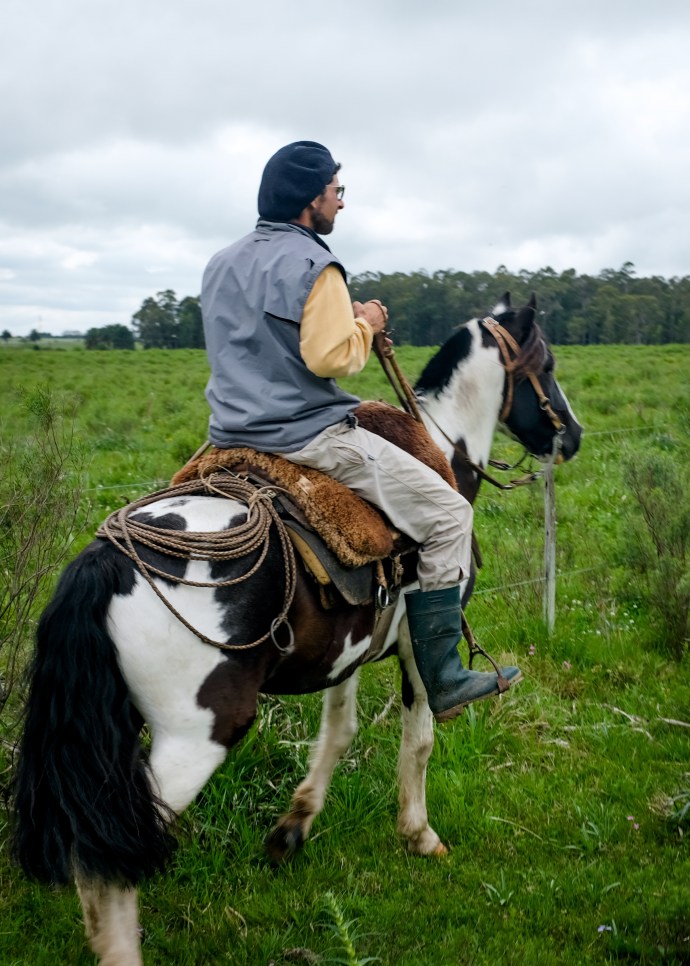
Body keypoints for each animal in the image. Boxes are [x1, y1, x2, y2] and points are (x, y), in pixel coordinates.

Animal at [12, 293, 582, 965]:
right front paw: (419, 835)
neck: (444, 453)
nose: (572, 436)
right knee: (113, 862)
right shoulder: (417, 652)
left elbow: (339, 733)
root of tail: (105, 560)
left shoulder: (349, 650)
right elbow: (419, 741)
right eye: (547, 365)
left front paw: (294, 826)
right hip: (195, 737)